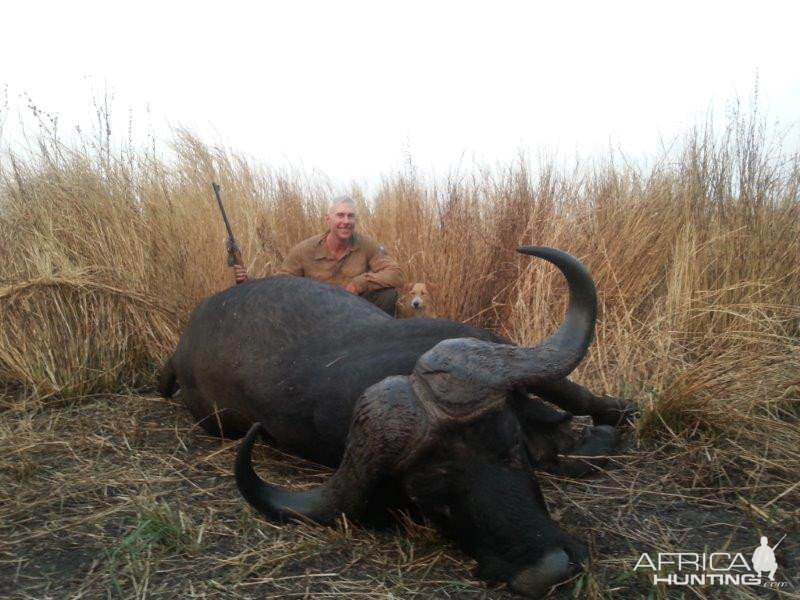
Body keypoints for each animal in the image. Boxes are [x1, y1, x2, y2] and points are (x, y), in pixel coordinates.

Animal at [159, 246, 628, 596]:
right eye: (433, 502)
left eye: (510, 452)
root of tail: (182, 347)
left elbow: (574, 396)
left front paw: (613, 415)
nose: (549, 571)